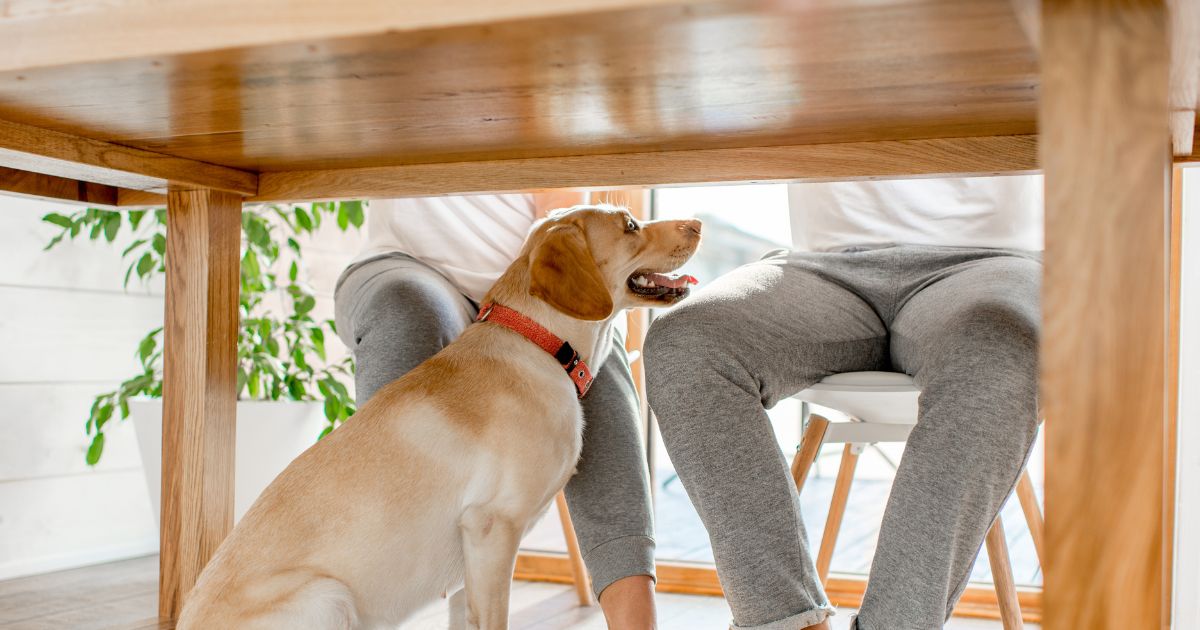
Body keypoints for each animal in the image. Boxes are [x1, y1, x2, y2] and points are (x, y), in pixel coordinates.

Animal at [177, 204, 700, 624]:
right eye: (630, 225)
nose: (697, 223)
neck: (538, 341)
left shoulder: (470, 560)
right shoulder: (491, 529)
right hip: (330, 595)